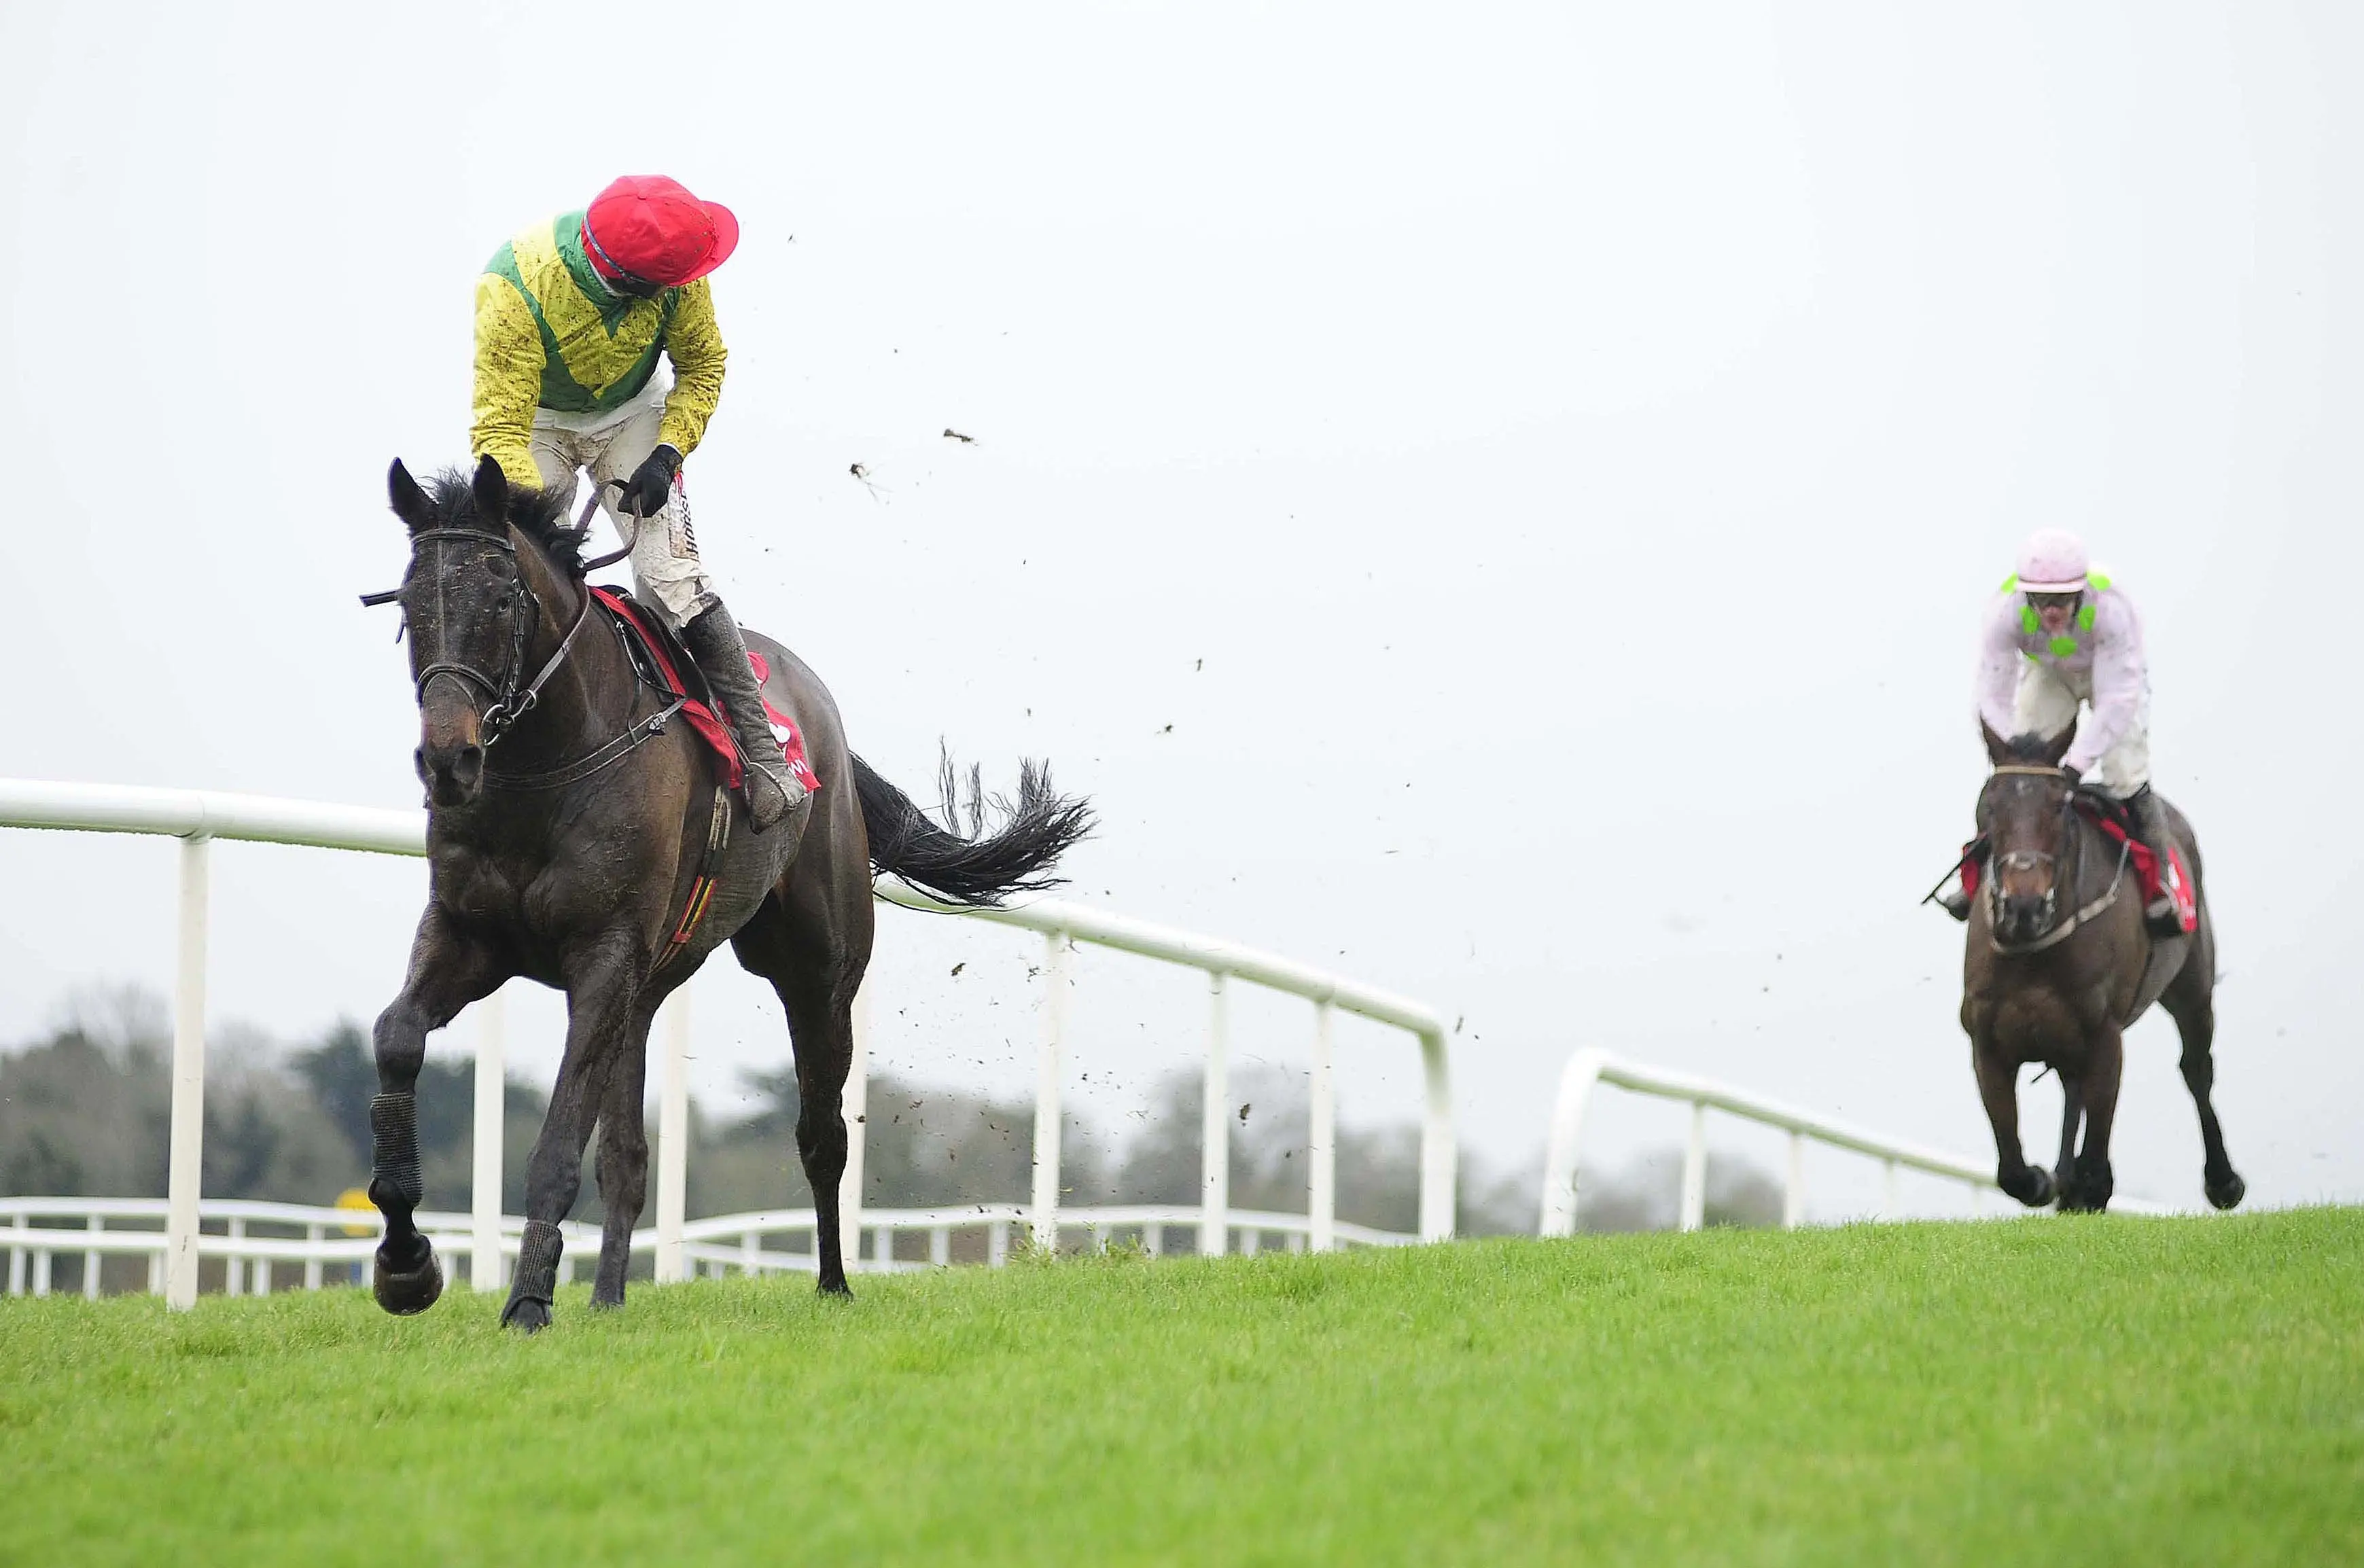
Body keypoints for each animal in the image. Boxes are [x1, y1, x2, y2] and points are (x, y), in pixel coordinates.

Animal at [365, 456, 1092, 1331]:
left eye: (501, 598)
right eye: (408, 605)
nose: (450, 760)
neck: (549, 763)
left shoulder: (603, 953)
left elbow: (558, 1138)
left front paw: (529, 1301)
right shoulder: (469, 934)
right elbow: (398, 1036)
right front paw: (406, 1261)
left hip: (816, 971)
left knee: (821, 1132)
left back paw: (832, 1282)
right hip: (651, 984)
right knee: (628, 1156)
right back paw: (608, 1300)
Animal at [1958, 723, 2243, 1214]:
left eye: (2058, 806)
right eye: (1988, 806)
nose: (2023, 906)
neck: (2033, 950)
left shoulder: (2104, 1035)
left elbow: (2097, 1154)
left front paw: (2083, 1183)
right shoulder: (1986, 1042)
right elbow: (2012, 1171)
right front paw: (2046, 1180)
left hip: (2192, 985)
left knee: (2196, 1069)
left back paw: (2222, 1180)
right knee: (2073, 1087)